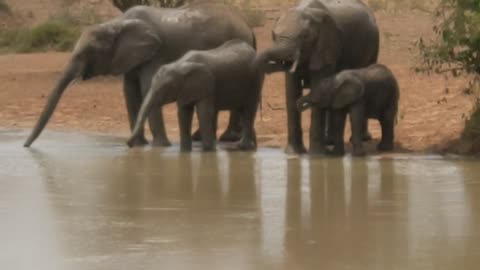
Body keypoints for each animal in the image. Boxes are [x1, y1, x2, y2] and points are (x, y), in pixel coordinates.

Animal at [125, 40, 264, 152]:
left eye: (163, 89)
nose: (129, 144)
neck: (179, 65)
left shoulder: (206, 85)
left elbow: (204, 112)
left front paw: (209, 151)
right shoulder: (185, 89)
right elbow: (183, 113)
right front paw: (185, 151)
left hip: (255, 80)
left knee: (249, 110)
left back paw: (243, 147)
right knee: (242, 110)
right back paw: (253, 147)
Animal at [253, 0, 380, 154]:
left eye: (304, 37)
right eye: (273, 35)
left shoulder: (326, 47)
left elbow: (318, 88)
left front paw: (316, 155)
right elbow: (292, 91)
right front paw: (293, 153)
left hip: (374, 46)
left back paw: (362, 139)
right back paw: (329, 141)